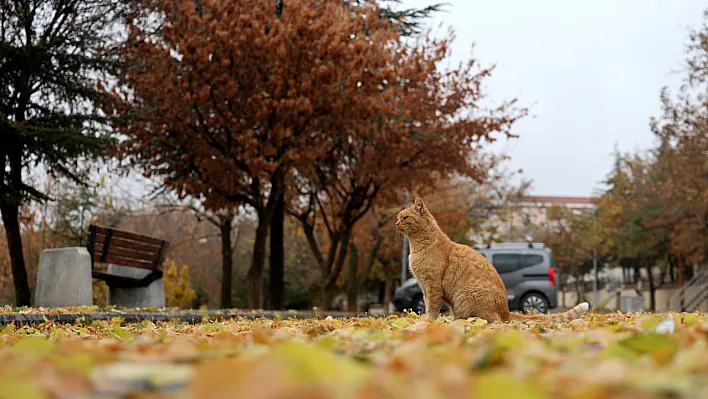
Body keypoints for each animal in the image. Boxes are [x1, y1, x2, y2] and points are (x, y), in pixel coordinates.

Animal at [396, 198, 588, 324]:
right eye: (398, 217)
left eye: (405, 217)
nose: (395, 223)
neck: (418, 245)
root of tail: (506, 311)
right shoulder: (424, 287)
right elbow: (427, 305)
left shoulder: (432, 285)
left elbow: (431, 308)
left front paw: (428, 322)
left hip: (469, 296)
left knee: (494, 322)